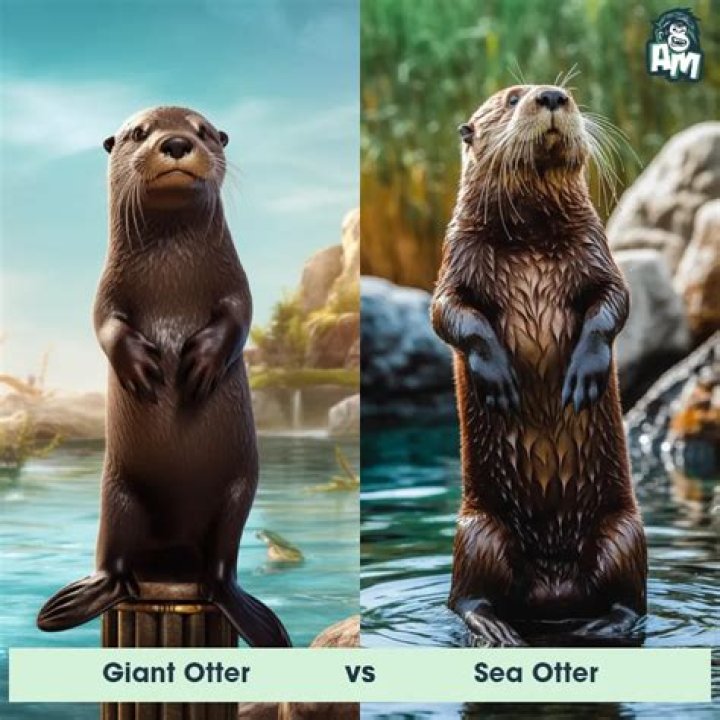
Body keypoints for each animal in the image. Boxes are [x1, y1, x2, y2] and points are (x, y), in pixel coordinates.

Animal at [37, 106, 291, 647]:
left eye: (204, 131)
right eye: (138, 133)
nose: (174, 142)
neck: (172, 277)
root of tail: (173, 565)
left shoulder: (237, 286)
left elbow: (239, 318)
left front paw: (199, 363)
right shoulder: (106, 292)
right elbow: (105, 326)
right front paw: (144, 368)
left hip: (237, 492)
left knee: (221, 566)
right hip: (119, 495)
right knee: (114, 559)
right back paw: (83, 597)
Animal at [431, 85, 647, 646]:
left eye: (568, 92)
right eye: (512, 99)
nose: (551, 95)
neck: (528, 243)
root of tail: (554, 592)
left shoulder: (597, 252)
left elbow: (615, 303)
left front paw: (583, 377)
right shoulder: (455, 259)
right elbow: (449, 314)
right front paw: (499, 378)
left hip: (624, 532)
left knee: (631, 597)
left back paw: (603, 624)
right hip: (478, 533)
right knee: (466, 597)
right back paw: (495, 626)